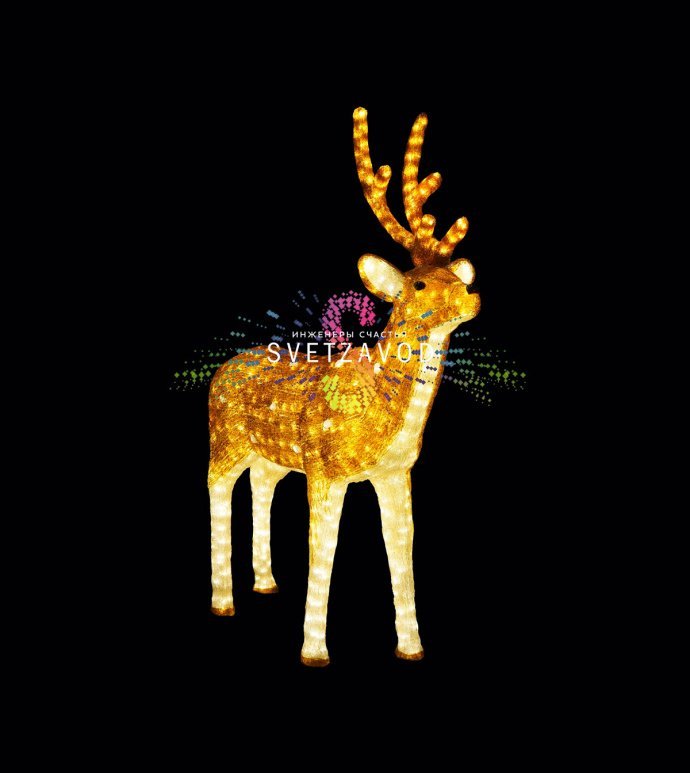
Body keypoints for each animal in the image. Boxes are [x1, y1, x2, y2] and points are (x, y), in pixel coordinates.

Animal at [208, 107, 480, 666]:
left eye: (459, 278)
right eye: (420, 283)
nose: (472, 297)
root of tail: (224, 367)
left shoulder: (397, 472)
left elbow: (403, 550)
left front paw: (412, 646)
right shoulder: (324, 466)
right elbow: (323, 552)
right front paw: (314, 650)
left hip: (270, 454)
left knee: (262, 485)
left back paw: (265, 583)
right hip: (225, 440)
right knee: (217, 488)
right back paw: (223, 602)